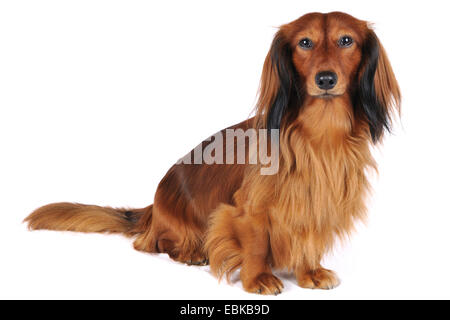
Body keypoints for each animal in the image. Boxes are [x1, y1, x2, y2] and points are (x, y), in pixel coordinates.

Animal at [24, 11, 400, 296]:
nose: (325, 79)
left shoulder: (318, 202)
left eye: (346, 40)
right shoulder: (246, 210)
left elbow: (309, 238)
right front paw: (257, 278)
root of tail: (152, 207)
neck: (319, 133)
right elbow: (255, 244)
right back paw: (191, 252)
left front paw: (309, 272)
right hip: (172, 228)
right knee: (152, 244)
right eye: (304, 43)